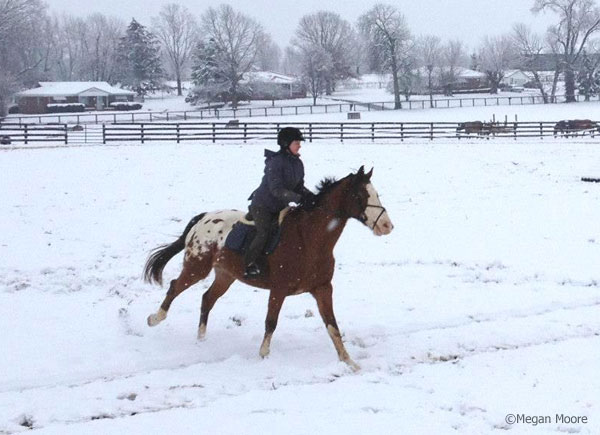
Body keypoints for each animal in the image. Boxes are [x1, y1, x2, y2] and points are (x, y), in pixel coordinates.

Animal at [144, 167, 394, 372]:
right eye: (361, 196)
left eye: (376, 193)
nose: (386, 226)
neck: (309, 238)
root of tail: (203, 218)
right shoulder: (279, 289)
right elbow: (271, 322)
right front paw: (263, 356)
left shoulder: (322, 288)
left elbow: (332, 325)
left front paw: (349, 362)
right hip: (197, 267)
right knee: (175, 287)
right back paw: (154, 319)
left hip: (226, 275)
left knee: (207, 299)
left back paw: (201, 340)